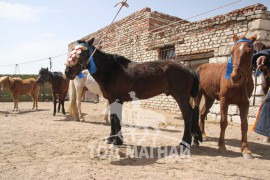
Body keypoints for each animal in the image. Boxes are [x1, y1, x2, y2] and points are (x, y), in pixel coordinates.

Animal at [64, 37, 201, 146]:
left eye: (83, 52)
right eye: (73, 51)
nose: (67, 71)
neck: (111, 70)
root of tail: (188, 69)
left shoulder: (117, 100)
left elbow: (116, 119)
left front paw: (117, 141)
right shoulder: (112, 100)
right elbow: (113, 118)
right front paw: (111, 139)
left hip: (181, 97)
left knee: (188, 115)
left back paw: (185, 142)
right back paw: (195, 139)